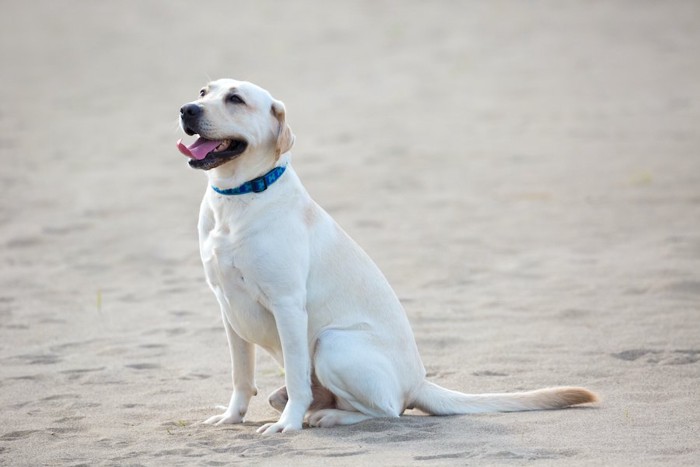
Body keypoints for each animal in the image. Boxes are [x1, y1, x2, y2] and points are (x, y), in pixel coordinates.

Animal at [175, 79, 596, 436]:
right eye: (204, 91)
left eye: (235, 99)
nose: (186, 109)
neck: (239, 196)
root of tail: (419, 382)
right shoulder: (228, 308)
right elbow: (241, 376)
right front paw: (232, 417)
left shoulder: (288, 306)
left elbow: (296, 378)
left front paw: (287, 425)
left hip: (333, 343)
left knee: (388, 410)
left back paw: (326, 416)